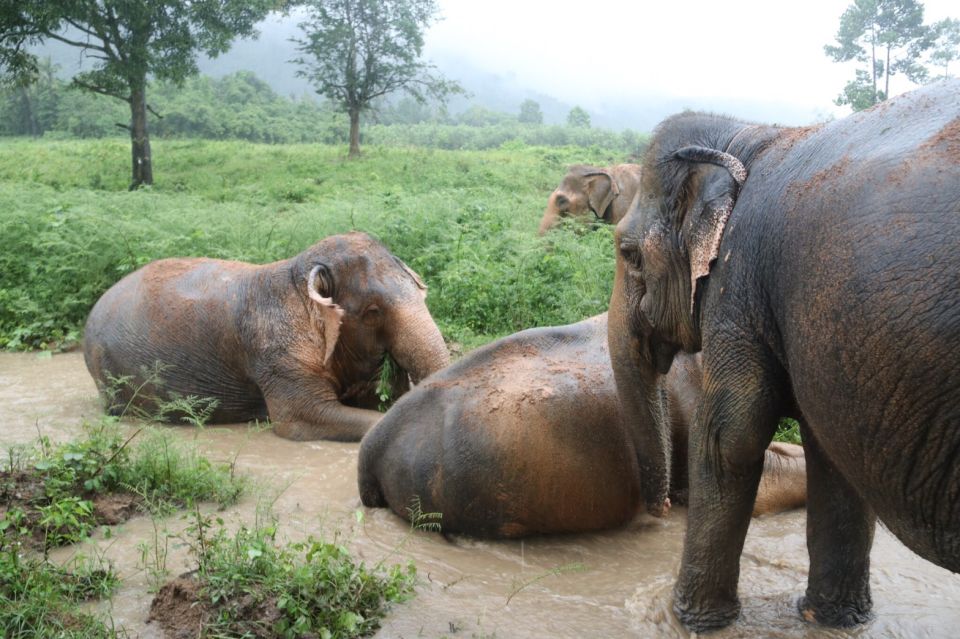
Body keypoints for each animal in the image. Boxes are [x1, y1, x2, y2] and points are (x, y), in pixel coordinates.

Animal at [608, 79, 960, 632]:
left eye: (628, 253)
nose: (661, 509)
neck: (749, 135)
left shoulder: (739, 284)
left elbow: (729, 435)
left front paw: (691, 621)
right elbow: (831, 453)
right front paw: (833, 620)